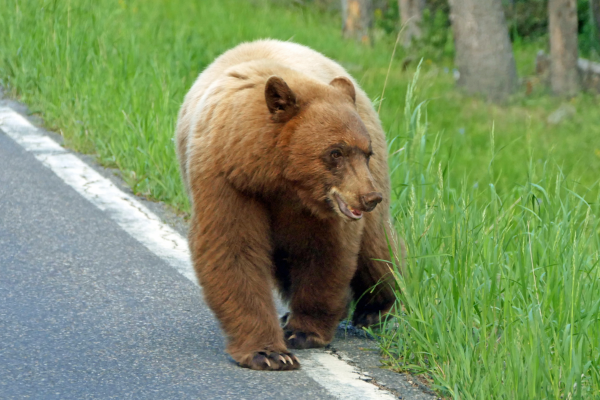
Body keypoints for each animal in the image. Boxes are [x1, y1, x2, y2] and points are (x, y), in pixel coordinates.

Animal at [175, 39, 398, 370]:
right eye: (335, 152)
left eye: (364, 153)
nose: (368, 197)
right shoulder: (226, 179)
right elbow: (232, 247)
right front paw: (268, 352)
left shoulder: (323, 211)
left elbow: (326, 252)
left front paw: (303, 331)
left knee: (375, 245)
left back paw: (375, 308)